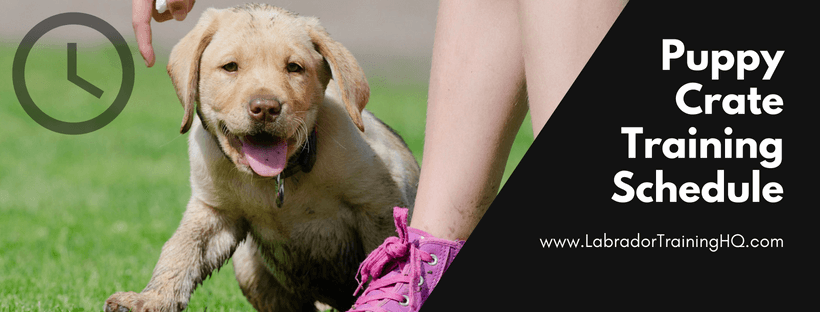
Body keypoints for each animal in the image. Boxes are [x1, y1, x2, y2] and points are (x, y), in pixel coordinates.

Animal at [105, 3, 420, 312]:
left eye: (294, 68)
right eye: (230, 67)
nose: (266, 108)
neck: (278, 179)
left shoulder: (378, 206)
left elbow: (387, 260)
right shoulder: (213, 211)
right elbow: (181, 251)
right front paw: (151, 299)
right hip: (249, 266)